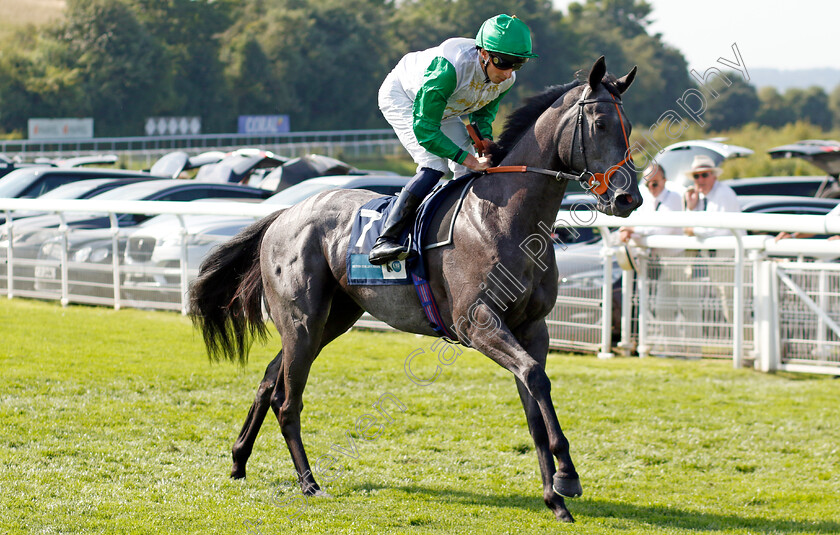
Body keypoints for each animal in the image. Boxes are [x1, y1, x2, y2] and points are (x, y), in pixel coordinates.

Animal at [189, 57, 636, 524]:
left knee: (268, 380)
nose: (629, 198)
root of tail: (283, 213)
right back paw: (309, 482)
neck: (506, 219)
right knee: (287, 400)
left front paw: (555, 497)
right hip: (302, 321)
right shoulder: (478, 324)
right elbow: (534, 376)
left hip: (331, 320)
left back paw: (239, 460)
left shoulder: (532, 328)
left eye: (628, 126)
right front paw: (568, 476)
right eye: (600, 123)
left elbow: (534, 397)